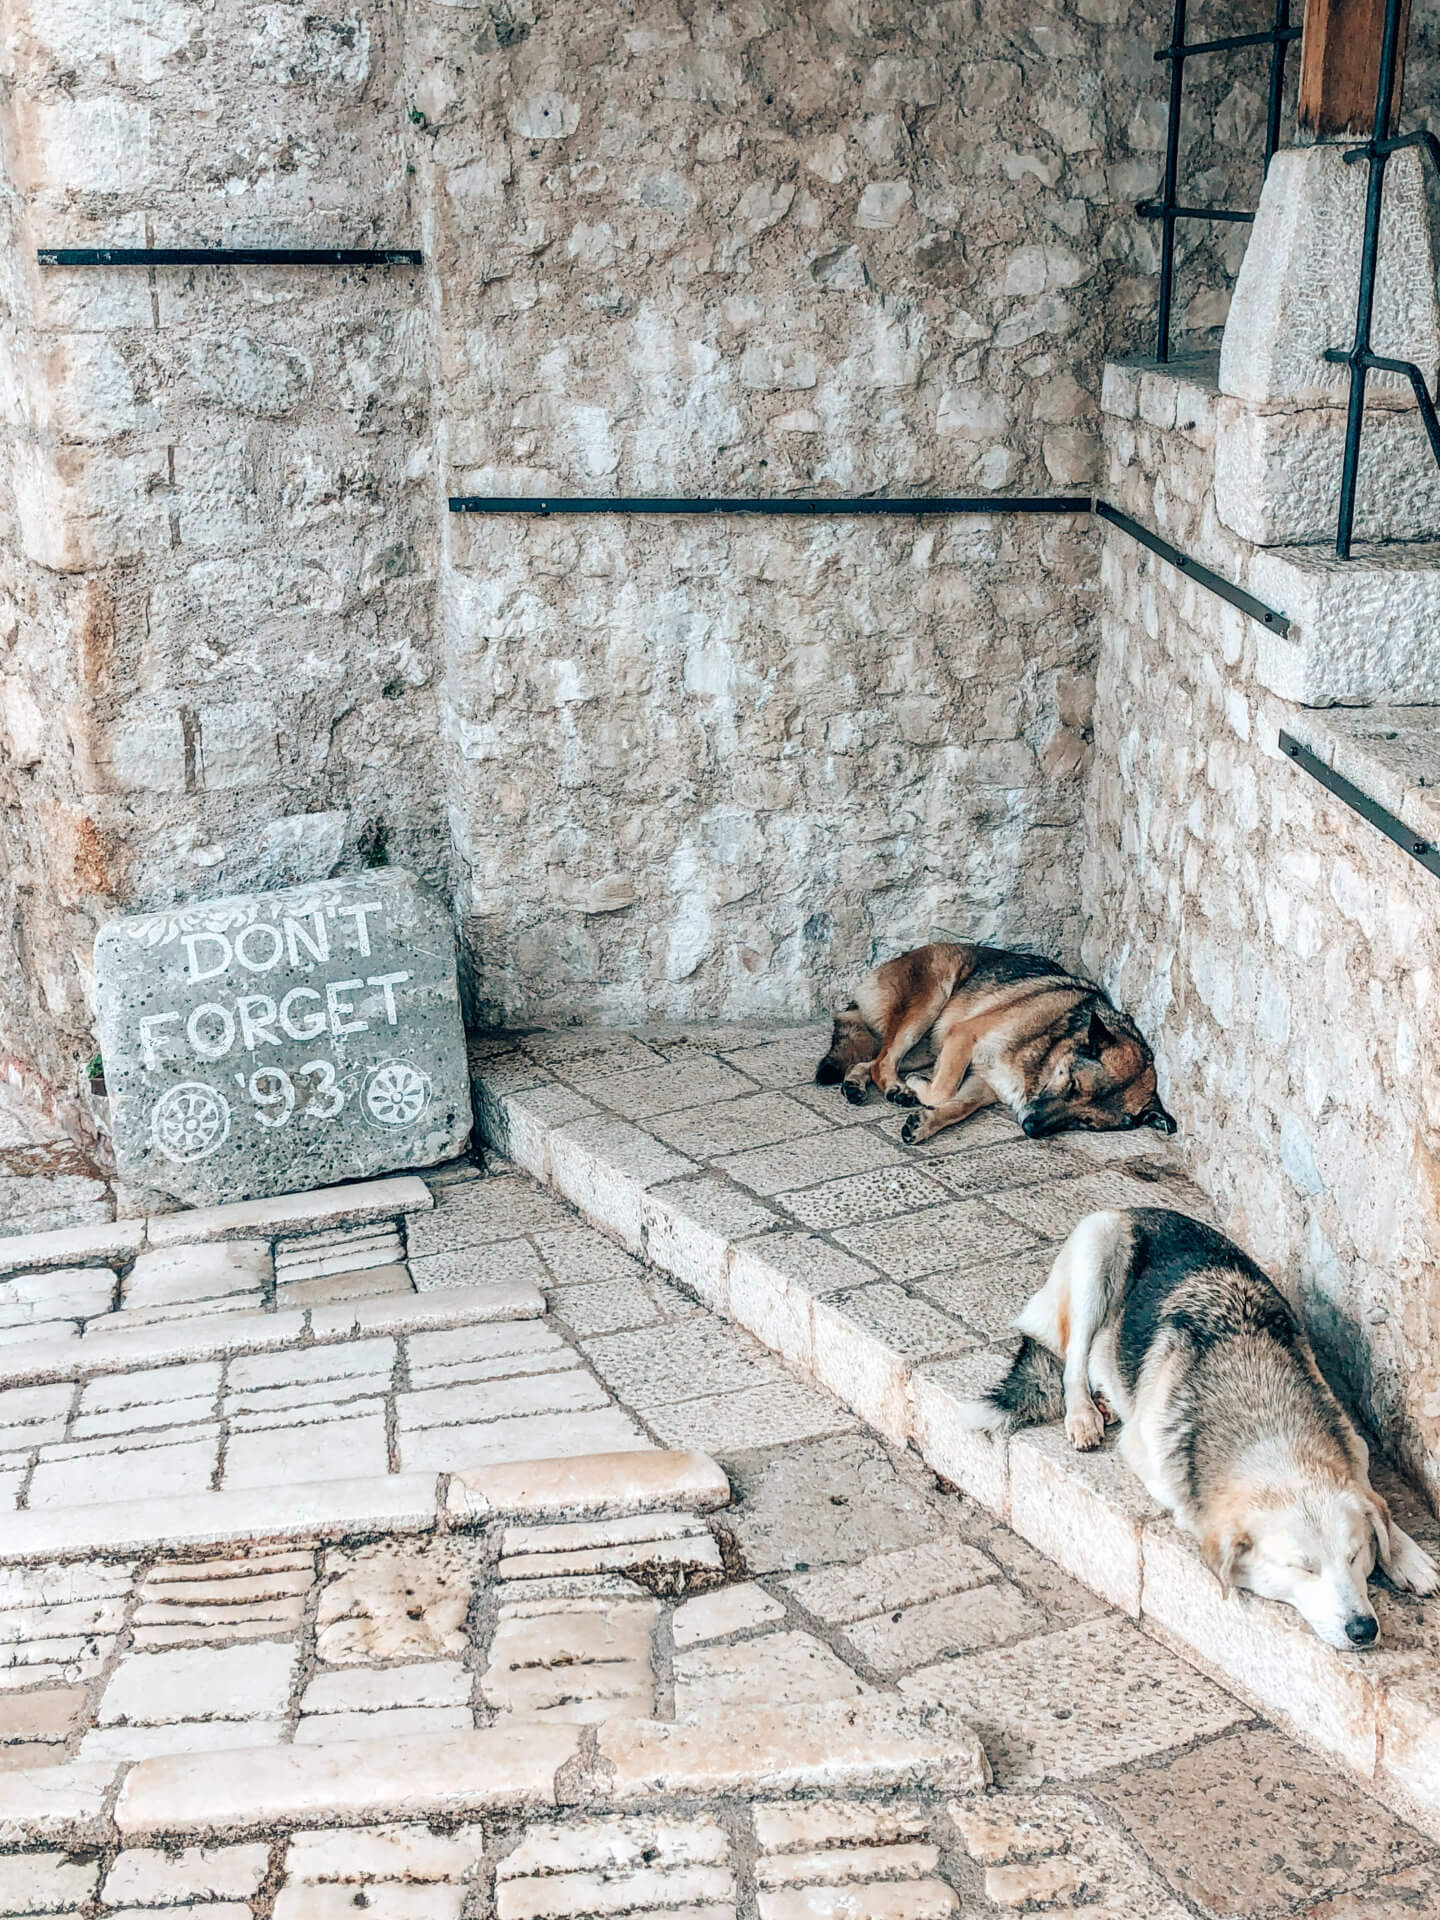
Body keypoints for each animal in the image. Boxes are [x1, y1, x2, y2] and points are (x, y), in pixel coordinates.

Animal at [817, 940, 1175, 1136]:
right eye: (1073, 1086)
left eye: (1086, 1121)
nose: (1030, 1129)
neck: (1049, 1048)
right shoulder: (963, 1035)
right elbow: (944, 1090)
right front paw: (921, 1090)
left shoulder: (985, 1083)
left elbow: (958, 1105)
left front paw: (925, 1121)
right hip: (929, 1009)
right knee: (883, 1061)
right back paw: (895, 1086)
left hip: (927, 1048)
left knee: (871, 1060)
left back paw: (856, 1084)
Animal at [960, 1205, 1440, 1643]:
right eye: (1302, 1568)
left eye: (1356, 1555)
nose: (1363, 1629)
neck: (1264, 1421)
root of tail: (1137, 1208)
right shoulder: (1157, 1463)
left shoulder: (1353, 1447)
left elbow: (1377, 1502)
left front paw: (1407, 1556)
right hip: (1098, 1251)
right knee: (1073, 1363)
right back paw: (1084, 1413)